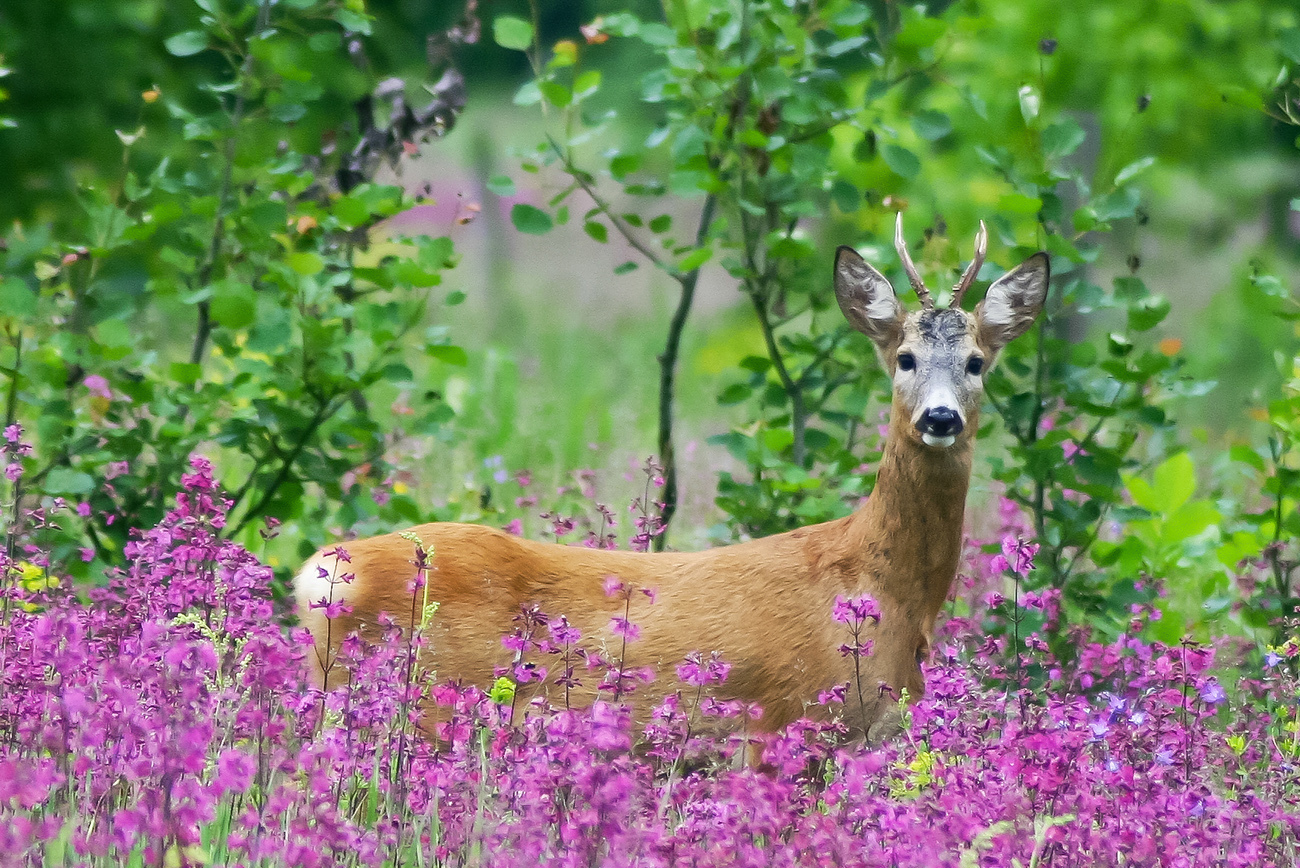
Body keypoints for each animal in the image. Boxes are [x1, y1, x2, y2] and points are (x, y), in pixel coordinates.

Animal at [295, 217, 1045, 738]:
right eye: (905, 358)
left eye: (977, 361)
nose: (941, 417)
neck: (878, 585)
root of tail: (319, 573)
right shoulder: (784, 720)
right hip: (425, 703)